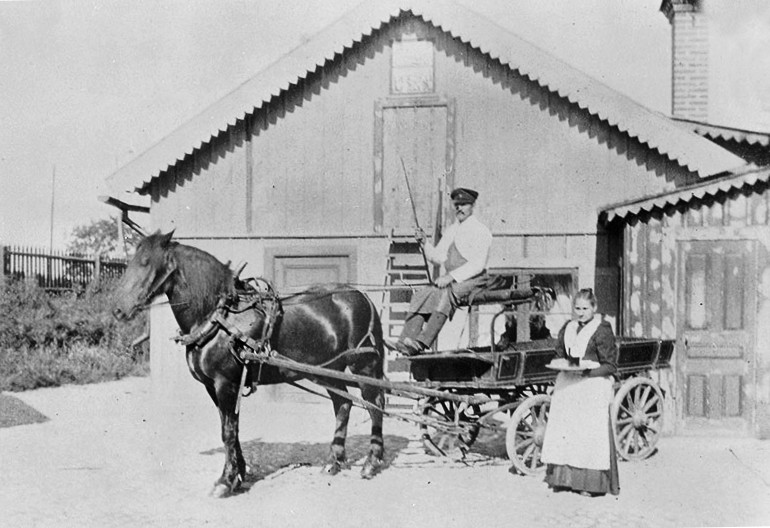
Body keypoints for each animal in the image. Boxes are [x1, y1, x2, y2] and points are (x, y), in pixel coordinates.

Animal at [113, 230, 384, 496]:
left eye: (146, 262)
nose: (118, 310)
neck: (218, 317)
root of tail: (362, 297)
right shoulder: (213, 386)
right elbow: (230, 428)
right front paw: (238, 474)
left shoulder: (225, 383)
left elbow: (228, 432)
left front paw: (225, 481)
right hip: (329, 370)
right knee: (343, 405)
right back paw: (333, 462)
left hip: (364, 366)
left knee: (375, 405)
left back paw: (371, 463)